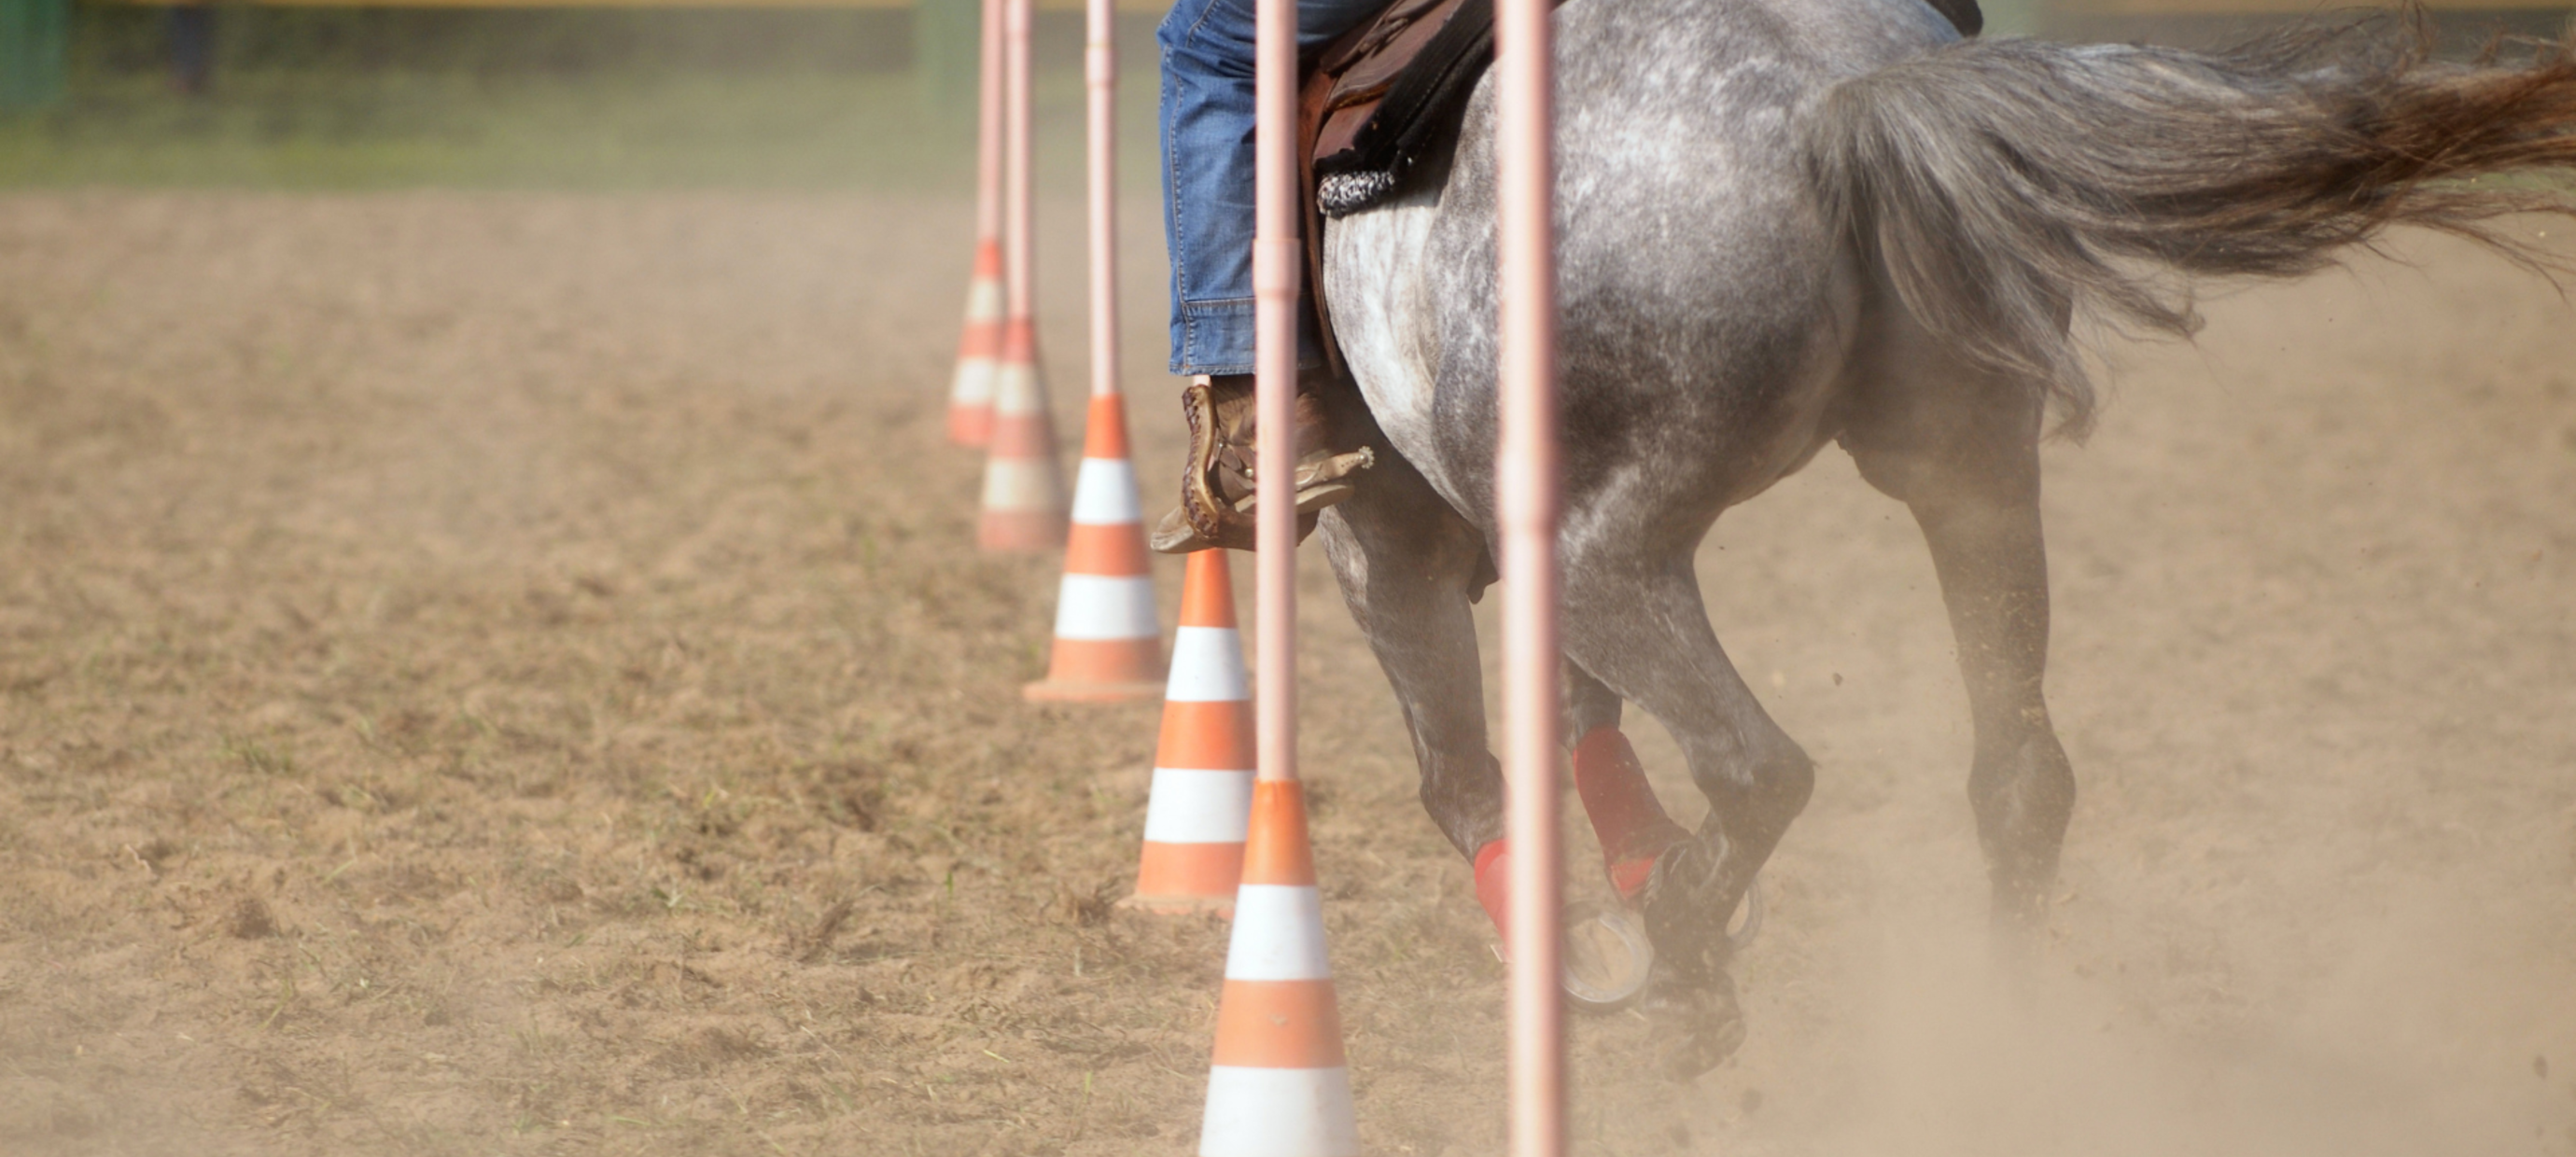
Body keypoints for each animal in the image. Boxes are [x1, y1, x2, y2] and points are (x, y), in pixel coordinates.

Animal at [1319, 0, 2565, 1066]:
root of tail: (1834, 98)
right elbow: (1572, 722)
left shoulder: (1383, 540)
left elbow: (1462, 774)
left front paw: (1596, 946)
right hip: (1974, 482)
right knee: (2021, 777)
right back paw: (1989, 1053)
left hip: (1595, 549)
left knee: (1757, 764)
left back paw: (1683, 956)